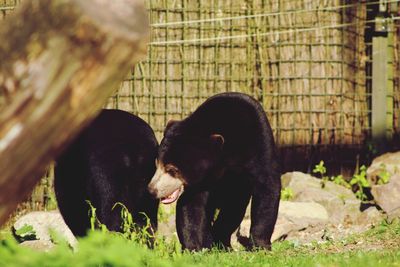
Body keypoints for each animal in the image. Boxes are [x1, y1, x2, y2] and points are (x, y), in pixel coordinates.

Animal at [147, 92, 282, 251]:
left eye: (172, 169)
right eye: (157, 164)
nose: (152, 190)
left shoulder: (259, 143)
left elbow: (267, 187)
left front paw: (260, 245)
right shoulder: (201, 178)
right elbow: (192, 204)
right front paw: (193, 246)